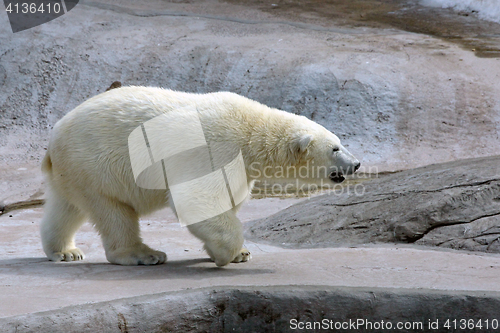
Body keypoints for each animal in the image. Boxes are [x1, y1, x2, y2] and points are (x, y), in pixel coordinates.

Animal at [40, 87, 360, 266]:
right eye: (335, 148)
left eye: (340, 142)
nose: (356, 164)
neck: (252, 133)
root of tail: (53, 140)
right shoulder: (217, 148)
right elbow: (198, 198)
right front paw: (228, 254)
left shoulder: (240, 168)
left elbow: (227, 199)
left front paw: (240, 253)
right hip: (97, 163)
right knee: (113, 211)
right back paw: (144, 254)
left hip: (76, 172)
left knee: (67, 208)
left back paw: (65, 252)